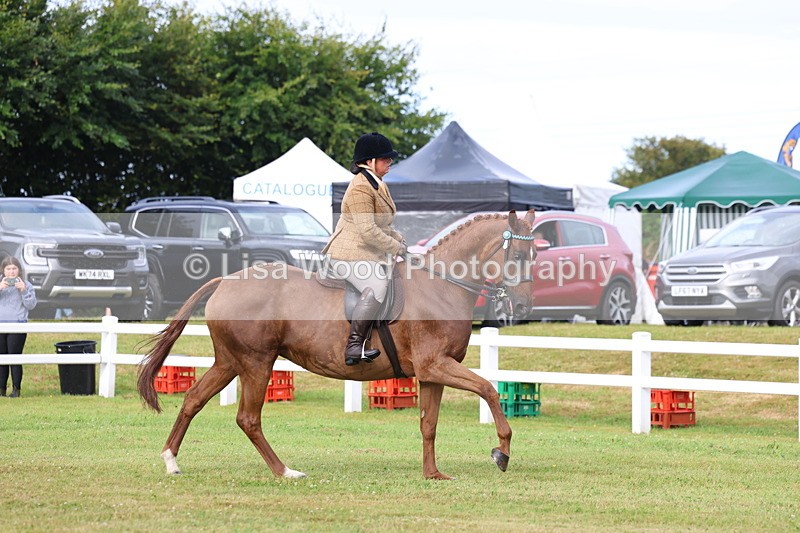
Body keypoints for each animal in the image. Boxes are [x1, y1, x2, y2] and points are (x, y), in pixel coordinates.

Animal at [137, 210, 537, 480]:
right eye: (518, 257)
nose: (522, 308)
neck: (441, 285)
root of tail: (224, 281)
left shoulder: (432, 373)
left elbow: (429, 424)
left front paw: (433, 474)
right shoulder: (436, 365)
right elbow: (487, 388)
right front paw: (501, 451)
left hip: (229, 362)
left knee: (193, 399)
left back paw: (171, 460)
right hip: (255, 362)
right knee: (248, 418)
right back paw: (285, 471)